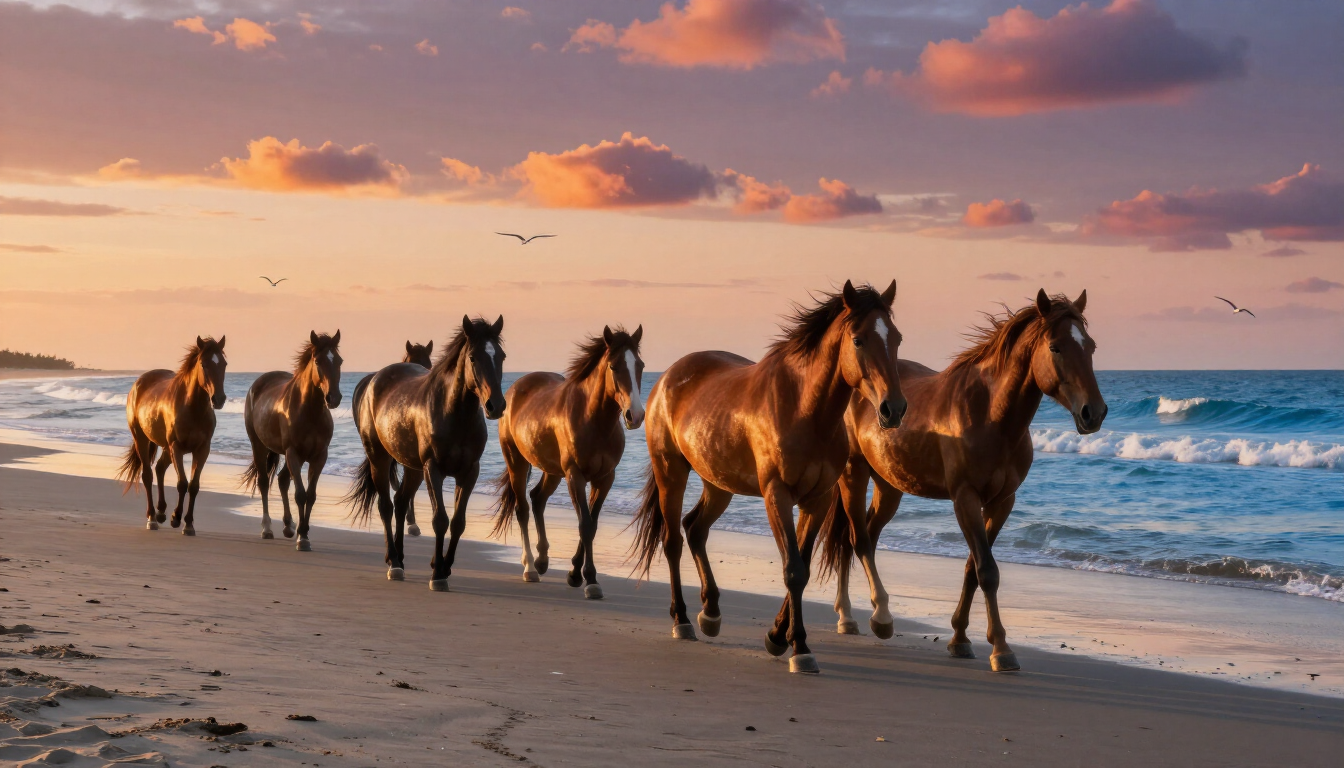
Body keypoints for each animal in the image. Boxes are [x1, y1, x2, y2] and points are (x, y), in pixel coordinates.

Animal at [116, 336, 228, 535]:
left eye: (223, 363)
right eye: (203, 364)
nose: (219, 399)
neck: (192, 408)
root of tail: (139, 383)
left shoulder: (202, 450)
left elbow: (194, 485)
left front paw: (189, 524)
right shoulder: (177, 447)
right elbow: (182, 483)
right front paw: (176, 518)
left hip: (165, 447)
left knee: (159, 468)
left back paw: (161, 512)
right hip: (142, 439)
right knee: (147, 475)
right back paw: (152, 518)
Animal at [240, 331, 344, 551]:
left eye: (339, 360)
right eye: (317, 360)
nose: (334, 398)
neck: (309, 411)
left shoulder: (318, 456)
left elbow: (311, 495)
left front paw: (303, 533)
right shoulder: (293, 453)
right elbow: (300, 494)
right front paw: (302, 537)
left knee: (282, 479)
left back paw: (288, 526)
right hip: (259, 446)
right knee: (264, 482)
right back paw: (267, 528)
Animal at [490, 325, 646, 598]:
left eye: (640, 365)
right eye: (614, 366)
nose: (635, 415)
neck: (594, 421)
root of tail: (515, 387)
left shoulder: (605, 478)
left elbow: (592, 524)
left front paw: (575, 573)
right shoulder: (576, 476)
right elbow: (585, 523)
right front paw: (590, 579)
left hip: (552, 471)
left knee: (537, 498)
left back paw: (542, 560)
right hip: (517, 462)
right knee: (523, 509)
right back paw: (530, 567)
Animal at [630, 281, 905, 674]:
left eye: (896, 337)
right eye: (858, 339)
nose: (893, 409)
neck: (805, 410)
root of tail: (667, 377)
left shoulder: (817, 500)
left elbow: (803, 567)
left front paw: (778, 636)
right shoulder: (777, 495)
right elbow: (793, 570)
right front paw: (798, 647)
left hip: (718, 484)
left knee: (695, 529)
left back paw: (710, 613)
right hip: (671, 472)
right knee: (672, 541)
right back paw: (682, 620)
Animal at [818, 290, 1106, 673]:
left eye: (1090, 346)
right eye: (1056, 347)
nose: (1095, 413)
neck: (991, 416)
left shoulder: (1001, 502)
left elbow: (973, 568)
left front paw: (959, 638)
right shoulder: (965, 498)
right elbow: (987, 570)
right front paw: (1001, 649)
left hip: (889, 486)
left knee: (864, 538)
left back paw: (858, 614)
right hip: (854, 474)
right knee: (857, 539)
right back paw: (866, 619)